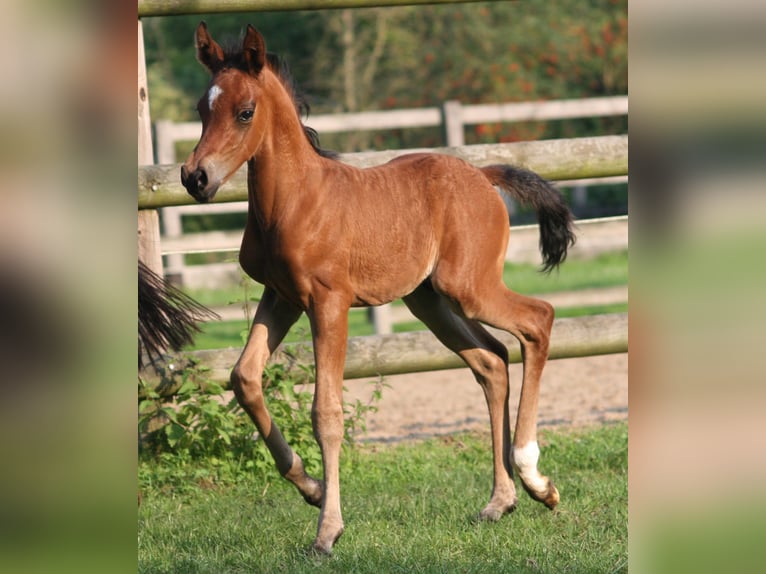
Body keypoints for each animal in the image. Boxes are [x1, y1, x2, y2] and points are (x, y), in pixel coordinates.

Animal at [180, 23, 576, 560]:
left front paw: (327, 532)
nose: (194, 177)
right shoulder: (280, 297)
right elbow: (244, 378)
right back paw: (501, 501)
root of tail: (482, 174)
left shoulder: (328, 302)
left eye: (245, 111)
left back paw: (535, 477)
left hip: (468, 287)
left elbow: (326, 412)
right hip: (428, 300)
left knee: (538, 320)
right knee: (492, 361)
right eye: (201, 109)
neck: (293, 201)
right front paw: (311, 488)